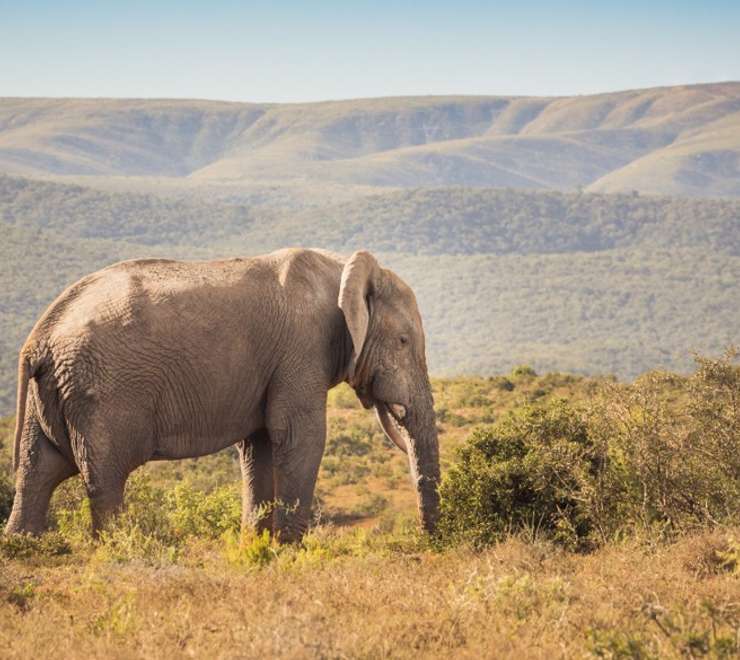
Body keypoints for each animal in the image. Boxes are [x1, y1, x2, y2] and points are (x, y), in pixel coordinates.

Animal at [5, 248, 440, 542]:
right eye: (403, 341)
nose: (427, 539)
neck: (344, 268)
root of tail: (38, 338)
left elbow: (259, 446)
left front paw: (258, 549)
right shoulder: (301, 350)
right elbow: (302, 438)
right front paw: (290, 552)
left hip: (55, 392)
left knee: (36, 472)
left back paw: (26, 548)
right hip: (102, 393)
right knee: (104, 479)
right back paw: (115, 552)